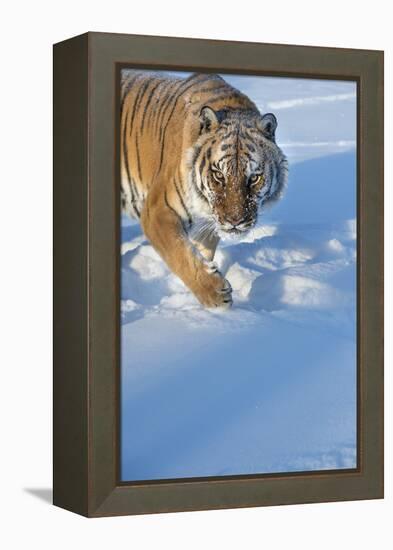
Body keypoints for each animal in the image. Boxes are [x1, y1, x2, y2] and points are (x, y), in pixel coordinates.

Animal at [121, 70, 286, 308]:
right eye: (219, 175)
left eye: (254, 178)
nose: (235, 222)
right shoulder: (158, 211)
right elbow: (180, 254)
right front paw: (216, 294)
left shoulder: (208, 223)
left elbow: (200, 252)